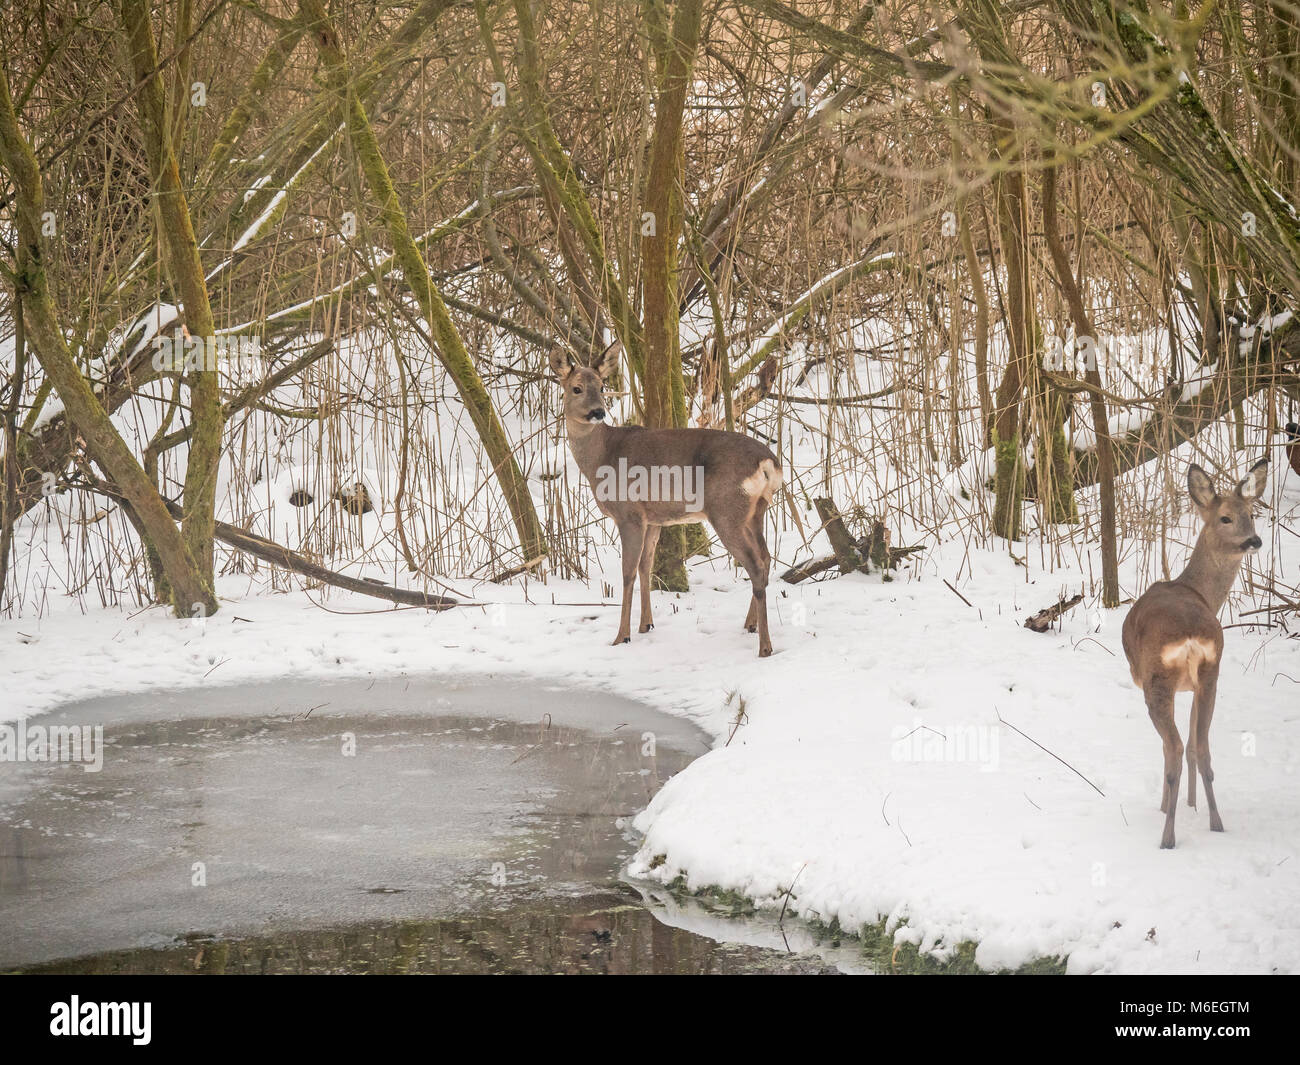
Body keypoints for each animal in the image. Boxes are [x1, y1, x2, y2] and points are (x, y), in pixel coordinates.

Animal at [548, 347, 783, 657]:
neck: (602, 457)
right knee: (766, 559)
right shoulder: (653, 518)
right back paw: (750, 625)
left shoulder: (629, 514)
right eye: (576, 388)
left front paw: (621, 636)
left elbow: (627, 573)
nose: (598, 411)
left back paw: (765, 646)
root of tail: (768, 463)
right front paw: (645, 625)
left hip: (727, 510)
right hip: (756, 511)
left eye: (601, 386)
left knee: (755, 565)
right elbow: (645, 566)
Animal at [1122, 458, 1268, 849]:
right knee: (1200, 748)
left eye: (1251, 514)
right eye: (1226, 518)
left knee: (1172, 748)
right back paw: (1216, 823)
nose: (1254, 540)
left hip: (1157, 680)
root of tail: (1189, 634)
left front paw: (1169, 807)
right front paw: (1191, 805)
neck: (1198, 590)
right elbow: (1193, 744)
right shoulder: (1195, 684)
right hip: (1210, 674)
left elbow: (1172, 747)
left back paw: (1167, 836)